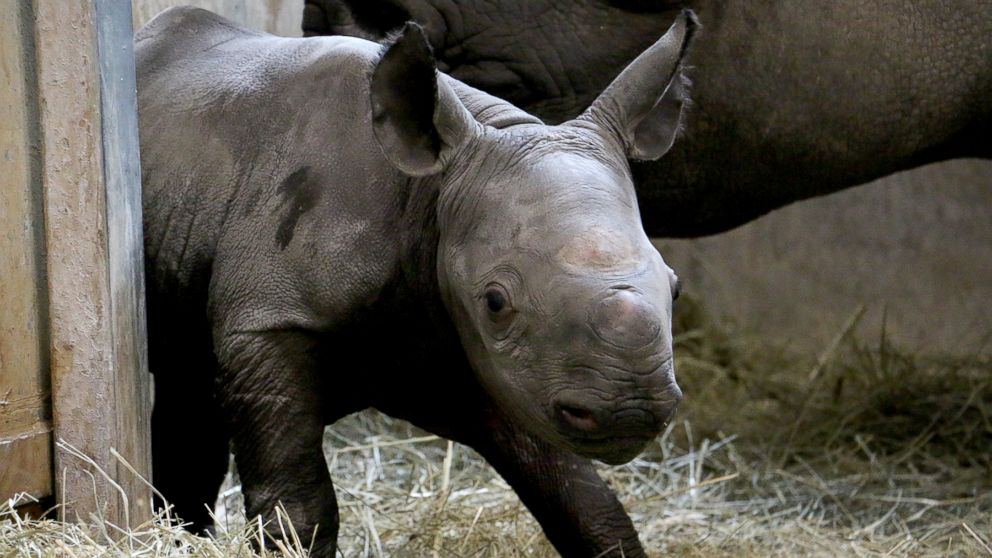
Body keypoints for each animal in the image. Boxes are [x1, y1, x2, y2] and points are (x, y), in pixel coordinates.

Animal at [138, 5, 696, 558]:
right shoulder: (271, 320)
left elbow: (582, 500)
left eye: (674, 286)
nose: (629, 410)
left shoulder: (497, 362)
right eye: (495, 302)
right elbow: (299, 508)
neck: (434, 195)